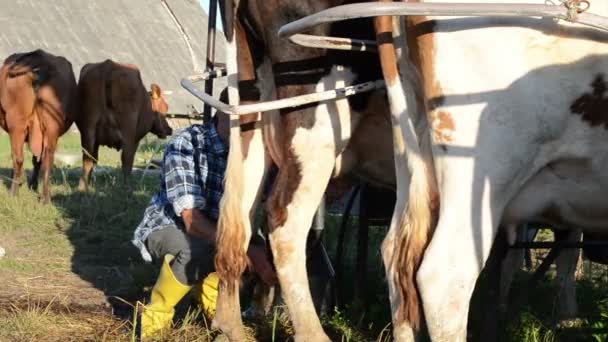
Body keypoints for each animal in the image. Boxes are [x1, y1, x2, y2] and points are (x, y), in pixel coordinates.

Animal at [0, 49, 78, 202]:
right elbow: (37, 159)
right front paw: (32, 185)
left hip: (16, 123)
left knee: (18, 158)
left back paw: (14, 193)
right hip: (52, 126)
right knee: (47, 159)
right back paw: (45, 199)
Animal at [75, 59, 173, 191]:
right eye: (165, 107)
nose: (169, 129)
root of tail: (109, 64)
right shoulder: (136, 139)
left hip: (88, 129)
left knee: (88, 157)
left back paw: (83, 188)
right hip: (128, 131)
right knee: (126, 158)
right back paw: (127, 188)